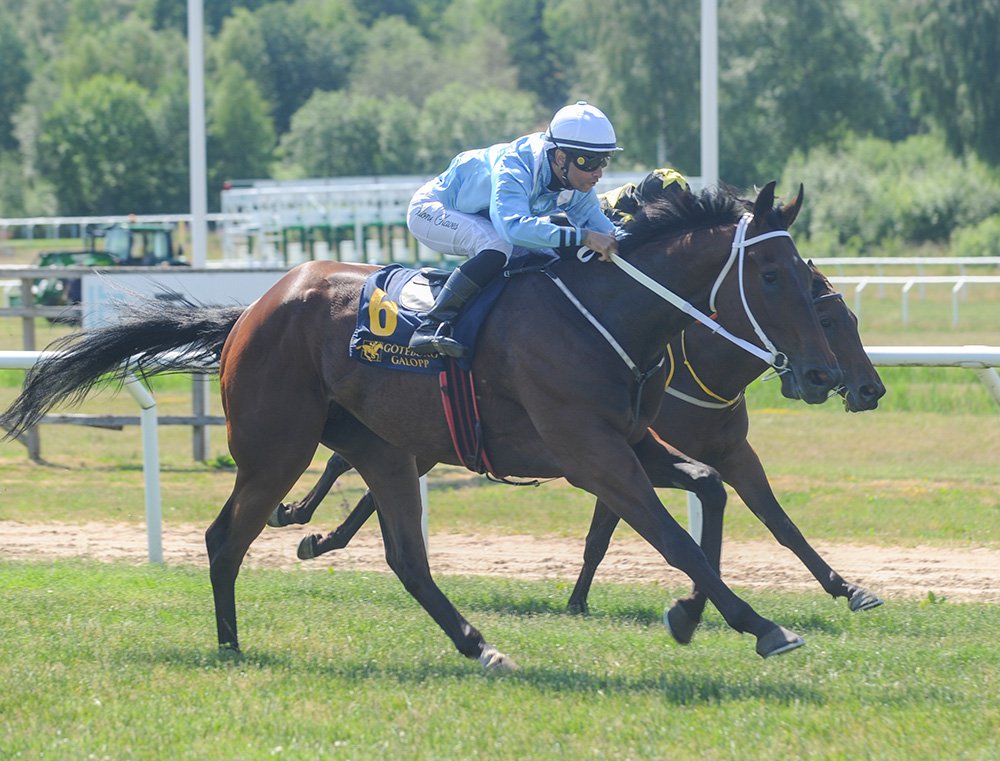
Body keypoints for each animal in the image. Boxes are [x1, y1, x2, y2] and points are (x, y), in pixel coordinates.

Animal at [0, 183, 844, 664]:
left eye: (810, 278)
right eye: (773, 274)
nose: (822, 373)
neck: (608, 313)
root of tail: (249, 313)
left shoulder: (633, 439)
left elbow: (710, 491)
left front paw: (691, 613)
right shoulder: (589, 452)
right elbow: (671, 535)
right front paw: (758, 623)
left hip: (383, 448)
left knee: (406, 556)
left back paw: (479, 645)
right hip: (276, 446)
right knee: (223, 537)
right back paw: (232, 645)